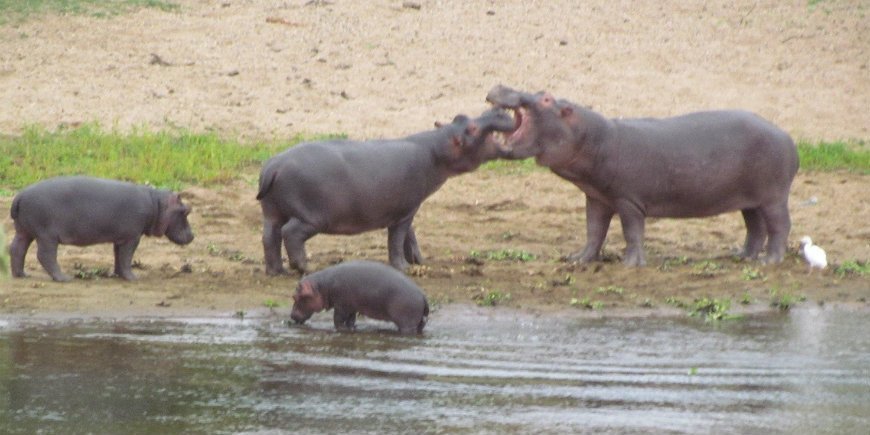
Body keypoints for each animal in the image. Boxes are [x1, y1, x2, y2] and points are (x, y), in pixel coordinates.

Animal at [9, 176, 194, 281]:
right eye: (186, 210)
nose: (193, 235)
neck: (157, 204)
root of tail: (20, 195)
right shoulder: (132, 237)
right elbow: (127, 257)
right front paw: (134, 278)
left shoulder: (121, 238)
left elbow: (118, 256)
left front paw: (118, 275)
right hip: (47, 236)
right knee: (45, 256)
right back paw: (64, 278)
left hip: (24, 231)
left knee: (17, 249)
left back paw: (22, 275)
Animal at [256, 108, 515, 275]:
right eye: (471, 127)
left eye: (460, 117)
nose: (498, 111)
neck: (437, 149)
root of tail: (273, 165)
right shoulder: (405, 211)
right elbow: (397, 239)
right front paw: (404, 267)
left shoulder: (407, 208)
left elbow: (411, 235)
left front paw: (419, 260)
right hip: (312, 217)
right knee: (290, 234)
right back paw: (304, 267)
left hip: (272, 211)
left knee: (270, 237)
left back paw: (276, 271)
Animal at [290, 260, 429, 335]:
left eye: (295, 296)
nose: (291, 316)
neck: (321, 286)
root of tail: (422, 295)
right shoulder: (351, 307)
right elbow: (350, 320)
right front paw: (351, 328)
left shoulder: (341, 306)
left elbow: (337, 319)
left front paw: (340, 329)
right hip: (420, 322)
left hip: (407, 323)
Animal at [487, 85, 799, 266]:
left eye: (546, 98)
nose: (501, 86)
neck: (593, 137)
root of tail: (787, 136)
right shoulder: (597, 198)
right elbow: (593, 231)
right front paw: (577, 259)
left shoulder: (628, 200)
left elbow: (632, 231)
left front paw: (630, 264)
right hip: (750, 199)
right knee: (755, 227)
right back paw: (741, 256)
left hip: (773, 196)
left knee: (780, 226)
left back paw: (769, 262)